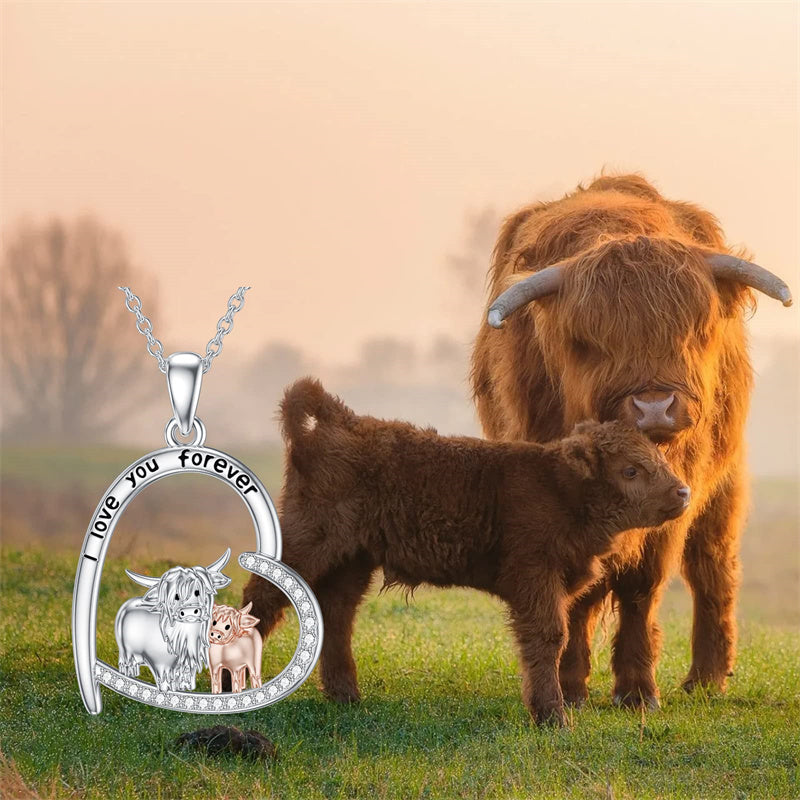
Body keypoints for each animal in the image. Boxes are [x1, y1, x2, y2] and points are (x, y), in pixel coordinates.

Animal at [115, 549, 231, 692]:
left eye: (197, 591)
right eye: (176, 596)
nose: (189, 612)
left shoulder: (186, 662)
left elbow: (185, 675)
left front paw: (186, 688)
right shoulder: (160, 662)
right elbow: (163, 678)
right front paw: (165, 690)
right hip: (126, 653)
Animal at [471, 173, 793, 709]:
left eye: (695, 332)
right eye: (589, 342)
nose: (654, 407)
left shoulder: (676, 498)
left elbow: (643, 586)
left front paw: (638, 690)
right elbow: (577, 595)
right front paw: (570, 685)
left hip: (723, 488)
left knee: (712, 569)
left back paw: (707, 678)